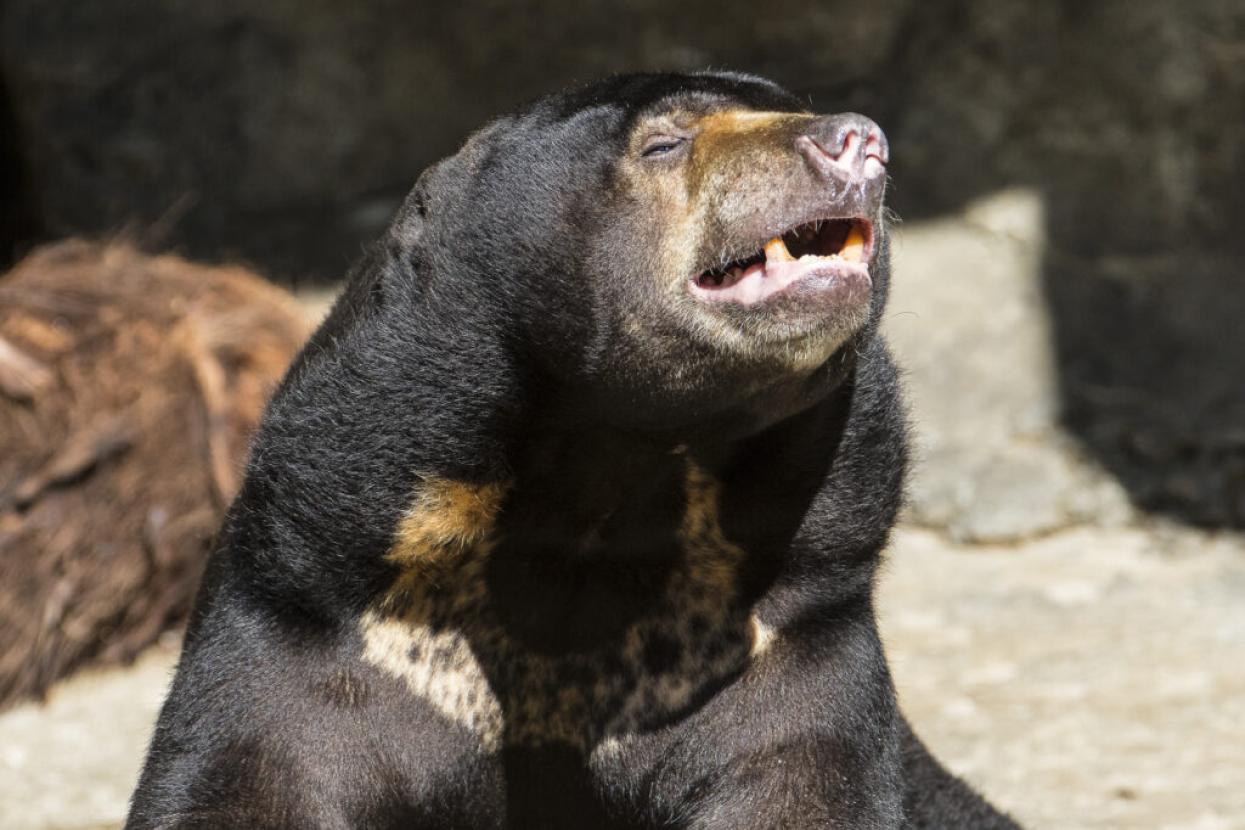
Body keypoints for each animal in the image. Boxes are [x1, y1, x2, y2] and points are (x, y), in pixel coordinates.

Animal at [127, 71, 1020, 829]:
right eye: (664, 143)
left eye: (801, 109)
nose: (857, 141)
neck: (605, 465)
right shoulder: (314, 609)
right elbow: (250, 773)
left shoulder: (788, 627)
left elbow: (799, 780)